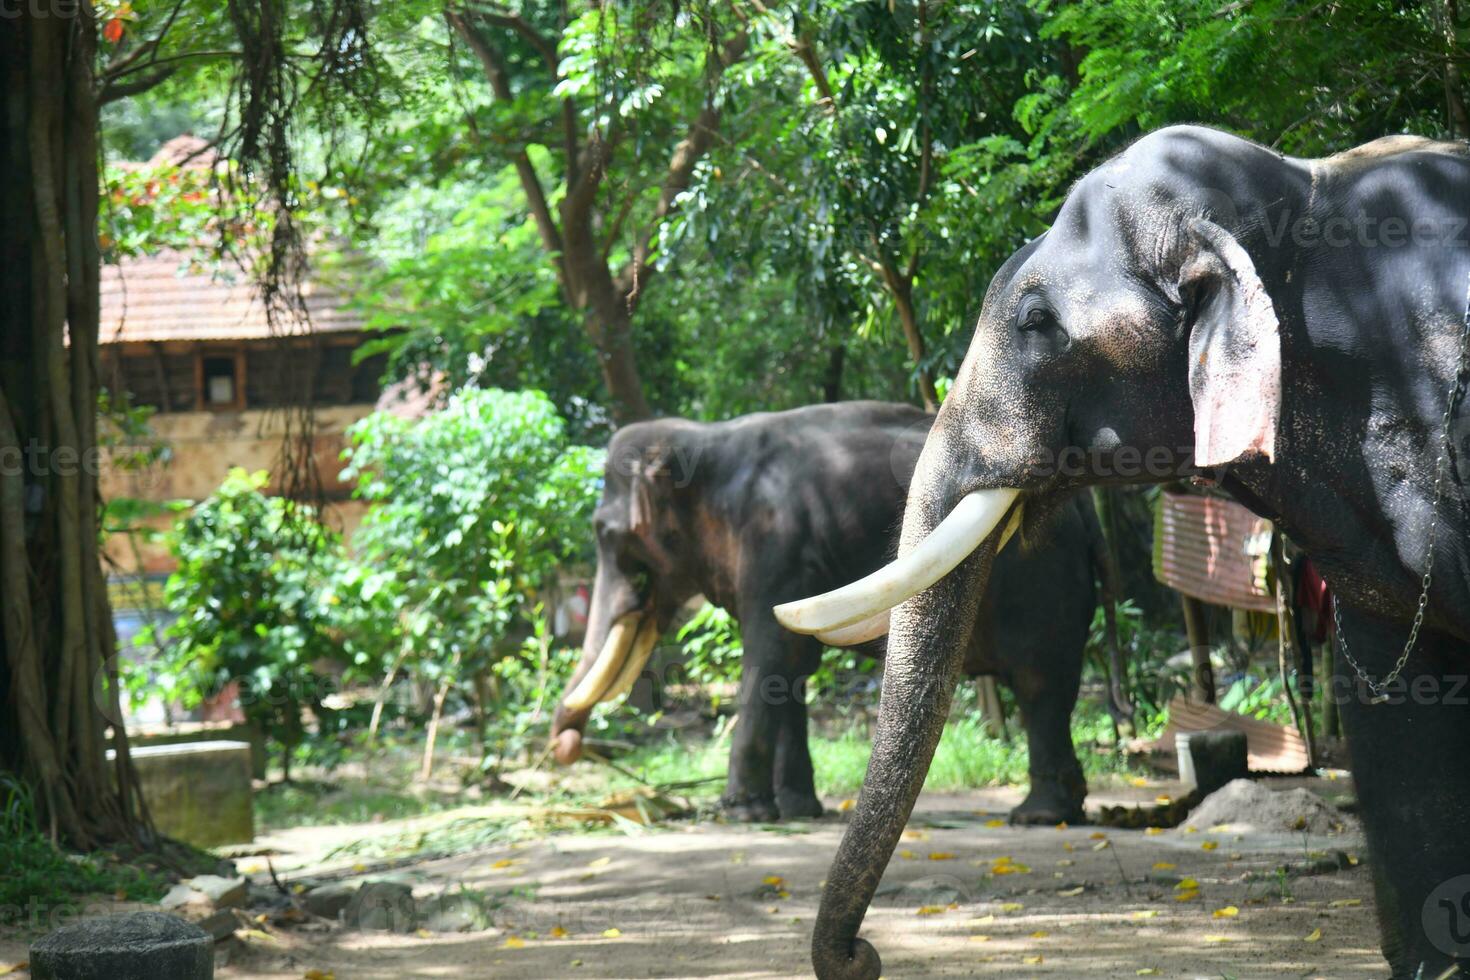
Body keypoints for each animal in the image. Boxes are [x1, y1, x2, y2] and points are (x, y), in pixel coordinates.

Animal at [546, 402, 1128, 822]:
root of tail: (1087, 513)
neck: (706, 439)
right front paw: (796, 810)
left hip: (1042, 581)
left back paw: (1037, 816)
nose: (565, 747)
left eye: (608, 535)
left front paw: (743, 814)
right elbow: (790, 671)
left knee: (1039, 686)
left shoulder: (776, 543)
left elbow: (768, 655)